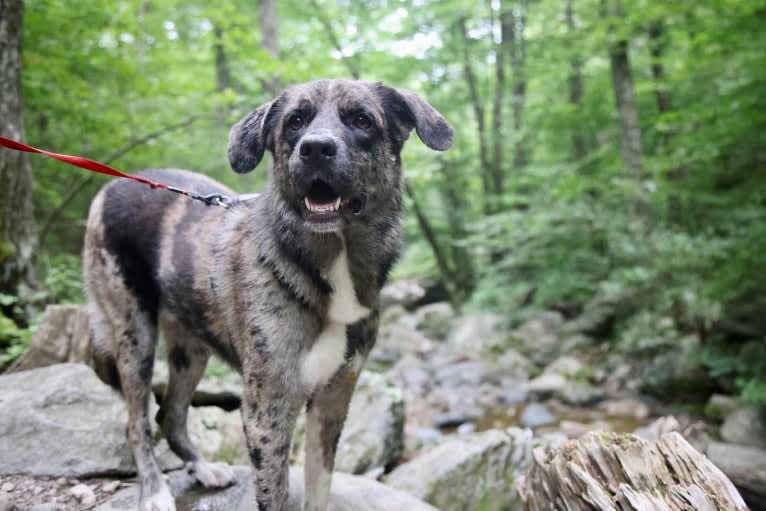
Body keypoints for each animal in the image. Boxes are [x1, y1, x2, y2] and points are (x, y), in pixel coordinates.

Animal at [82, 78, 456, 510]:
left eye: (362, 120)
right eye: (295, 121)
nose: (315, 148)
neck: (328, 263)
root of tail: (111, 184)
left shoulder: (333, 398)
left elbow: (319, 485)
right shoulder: (268, 411)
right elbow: (274, 493)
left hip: (191, 349)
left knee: (170, 414)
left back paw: (203, 468)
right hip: (135, 336)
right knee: (137, 421)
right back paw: (155, 490)